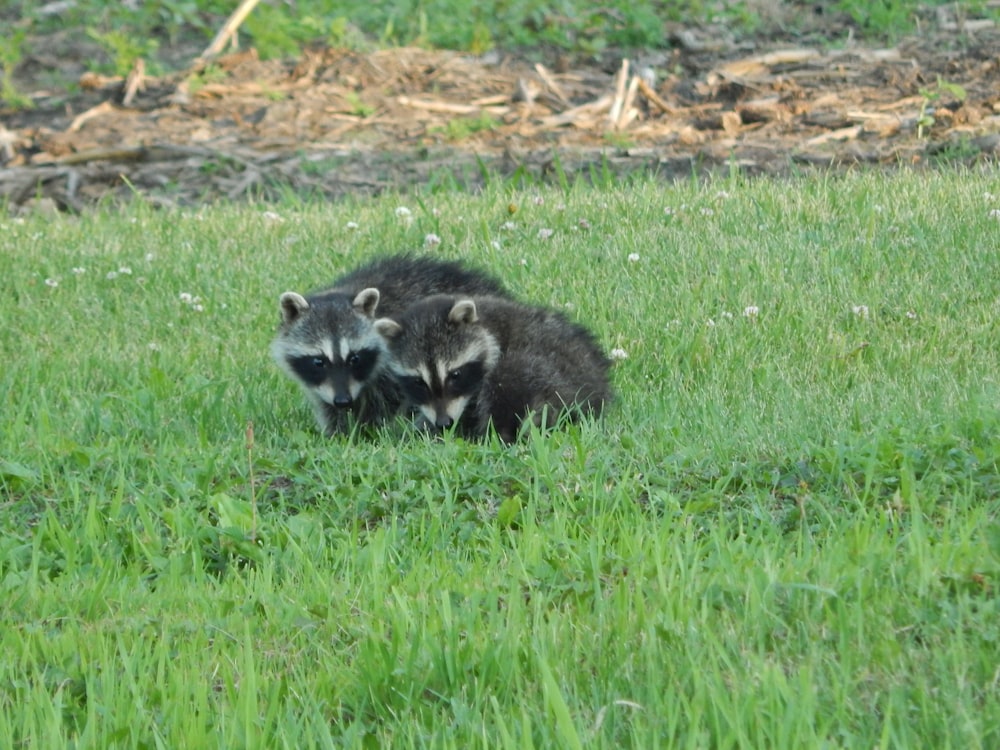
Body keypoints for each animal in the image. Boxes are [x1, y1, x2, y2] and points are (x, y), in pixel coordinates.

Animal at [270, 258, 508, 438]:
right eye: (318, 361)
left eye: (354, 358)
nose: (343, 400)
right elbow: (328, 405)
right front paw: (339, 433)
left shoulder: (390, 368)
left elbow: (391, 404)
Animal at [374, 296, 608, 444]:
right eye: (418, 382)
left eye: (455, 375)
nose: (444, 423)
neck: (485, 323)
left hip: (549, 374)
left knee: (505, 379)